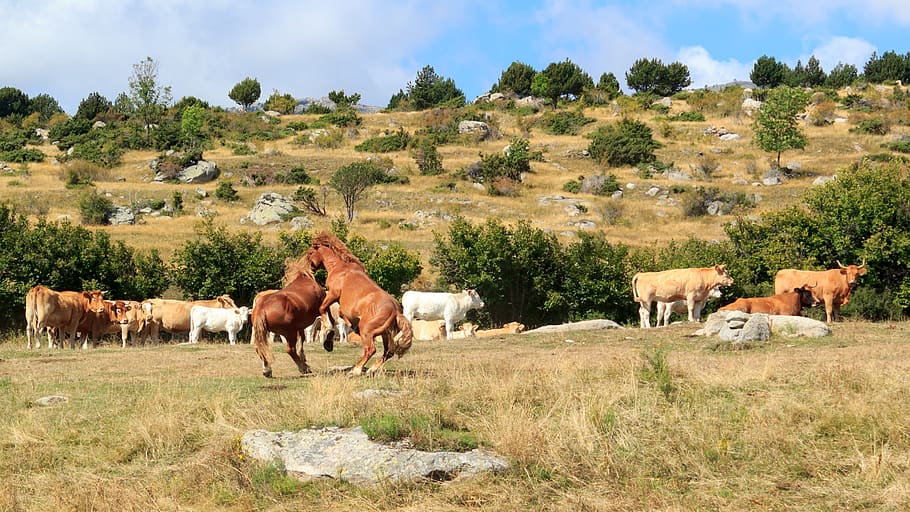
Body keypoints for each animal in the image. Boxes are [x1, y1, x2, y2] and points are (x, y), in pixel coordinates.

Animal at [306, 232, 414, 376]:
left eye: (311, 252)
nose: (311, 268)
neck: (341, 268)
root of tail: (396, 312)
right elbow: (340, 313)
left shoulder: (333, 293)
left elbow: (323, 308)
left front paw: (328, 328)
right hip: (386, 334)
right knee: (388, 352)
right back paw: (371, 369)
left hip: (368, 331)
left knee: (371, 349)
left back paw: (356, 370)